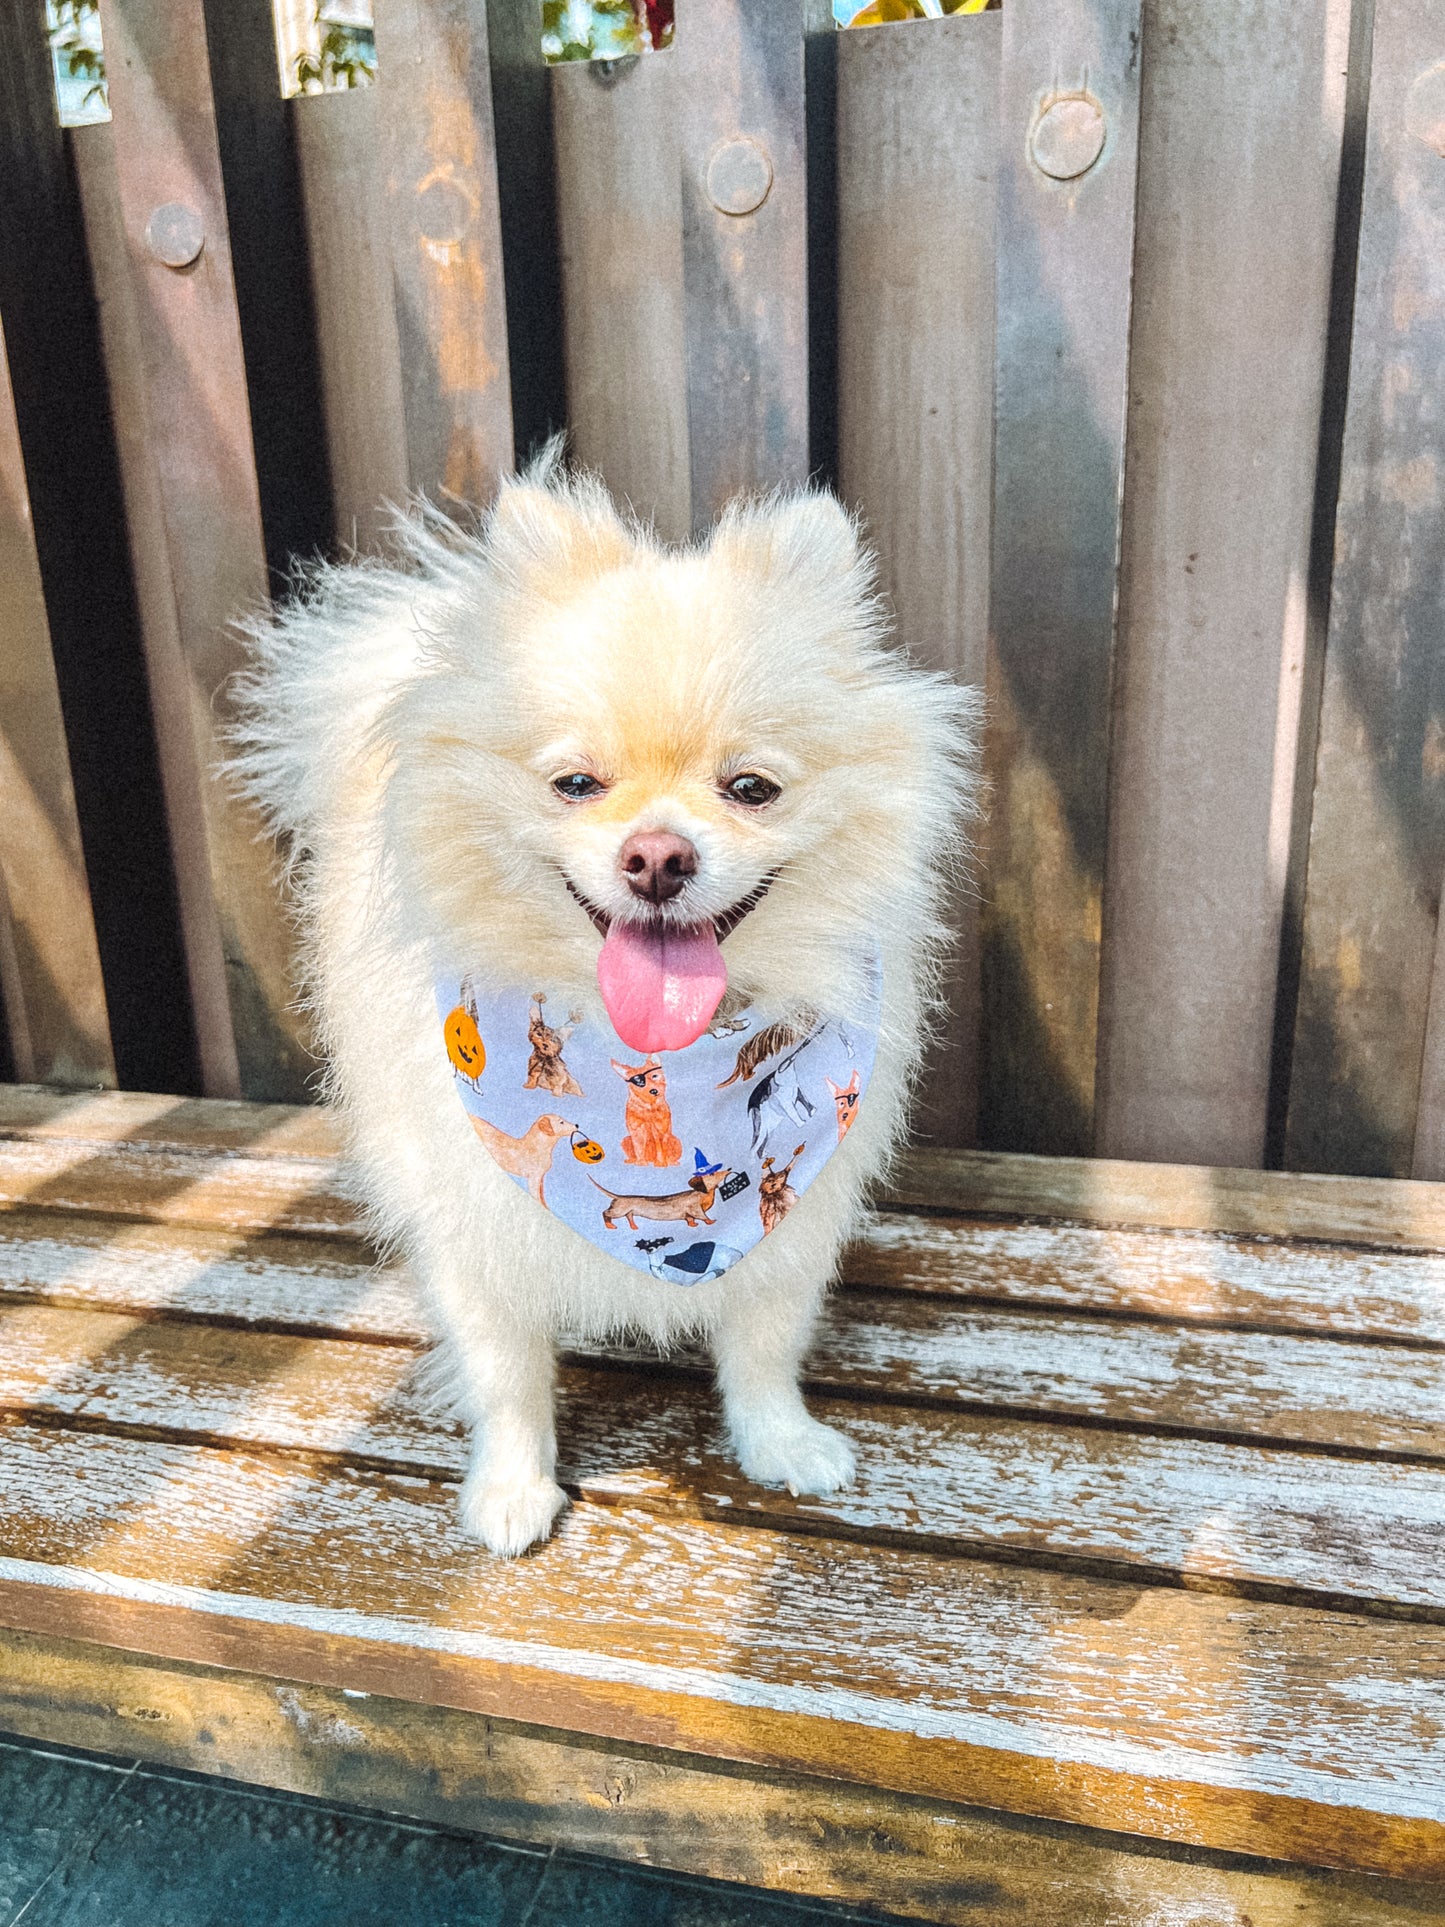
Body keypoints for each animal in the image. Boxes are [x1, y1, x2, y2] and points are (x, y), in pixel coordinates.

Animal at [237, 458, 978, 1557]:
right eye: (575, 782)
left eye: (750, 787)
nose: (657, 856)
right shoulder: (478, 1225)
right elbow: (507, 1371)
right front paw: (512, 1487)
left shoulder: (790, 1224)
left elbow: (763, 1343)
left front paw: (780, 1441)